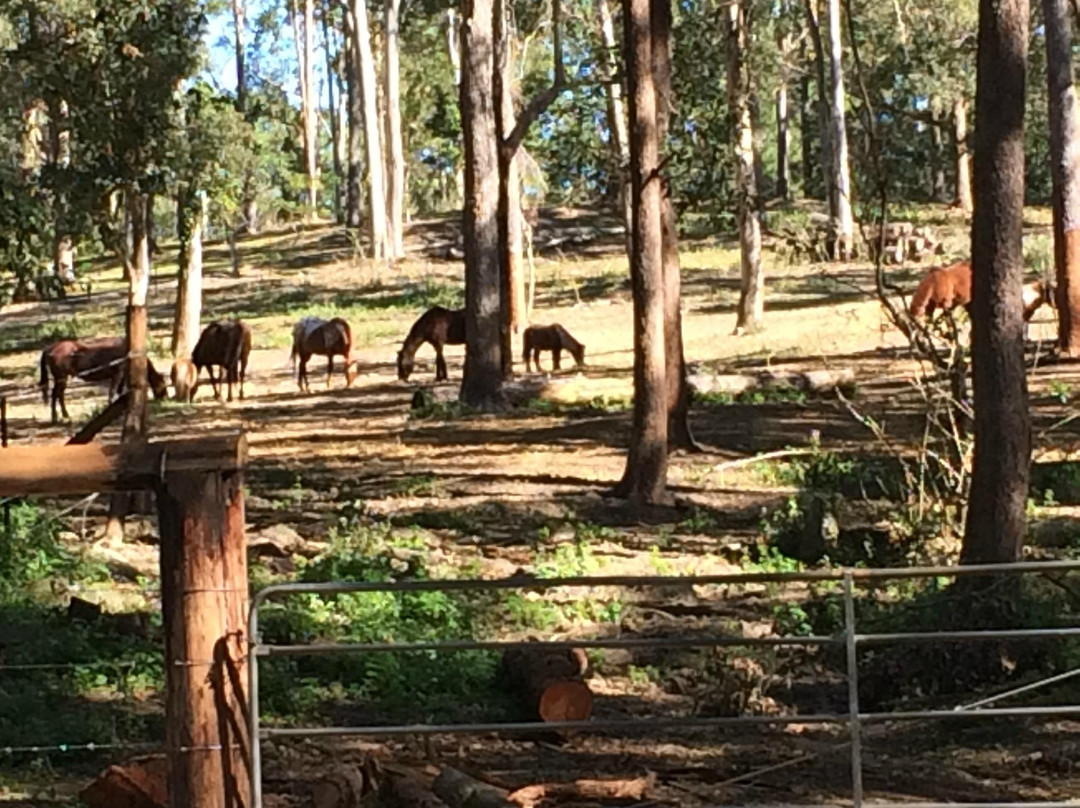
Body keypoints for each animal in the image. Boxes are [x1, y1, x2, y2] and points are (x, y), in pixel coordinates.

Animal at [39, 337, 168, 423]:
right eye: (162, 384)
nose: (165, 397)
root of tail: (50, 348)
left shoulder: (121, 375)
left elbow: (118, 391)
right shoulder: (118, 373)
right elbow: (113, 392)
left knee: (58, 394)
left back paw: (62, 416)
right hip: (61, 377)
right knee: (57, 394)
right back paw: (58, 417)